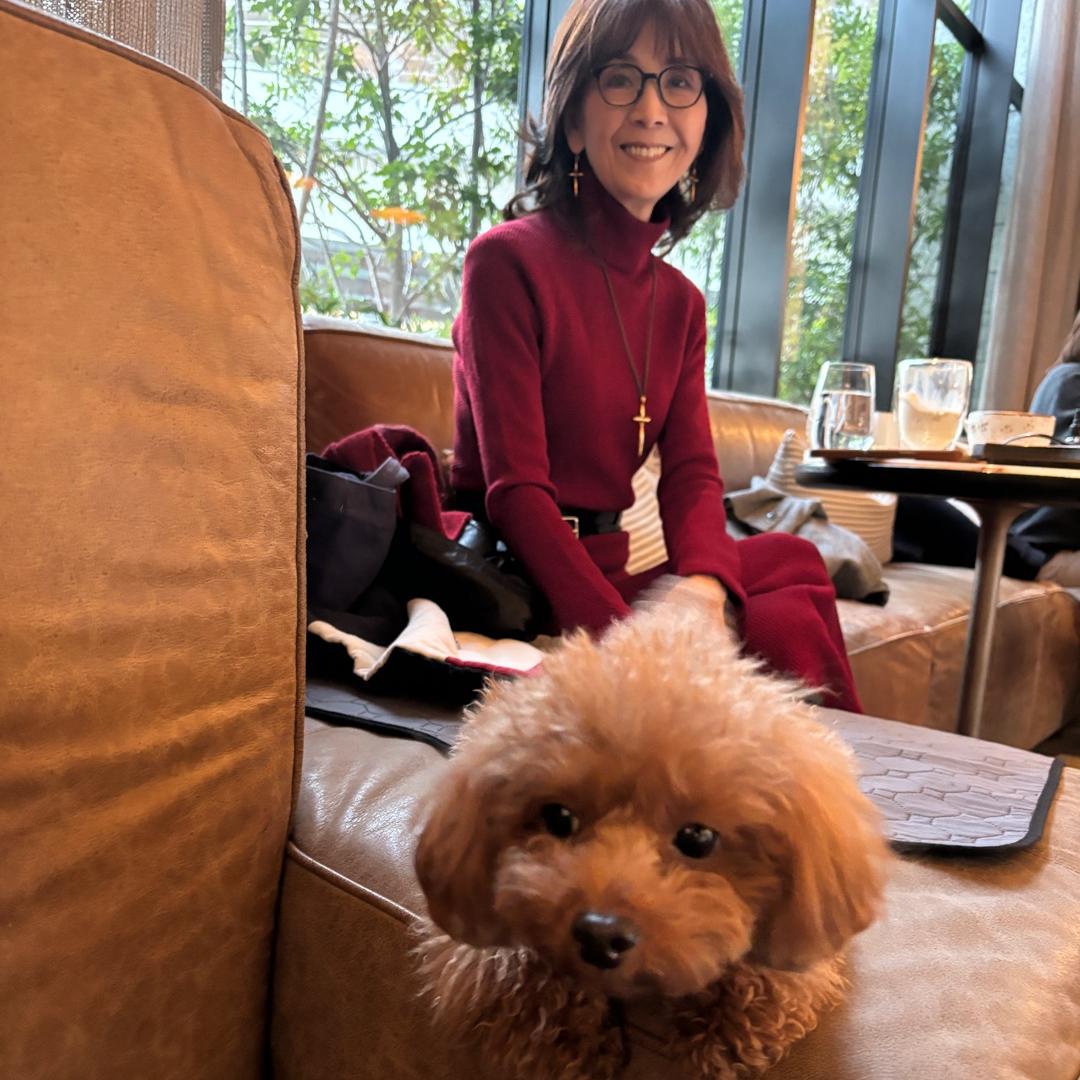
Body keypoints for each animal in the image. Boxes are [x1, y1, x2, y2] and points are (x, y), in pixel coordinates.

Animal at [413, 595, 889, 1079]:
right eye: (558, 818)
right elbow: (512, 969)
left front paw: (727, 1026)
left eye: (698, 838)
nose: (600, 935)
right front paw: (563, 1035)